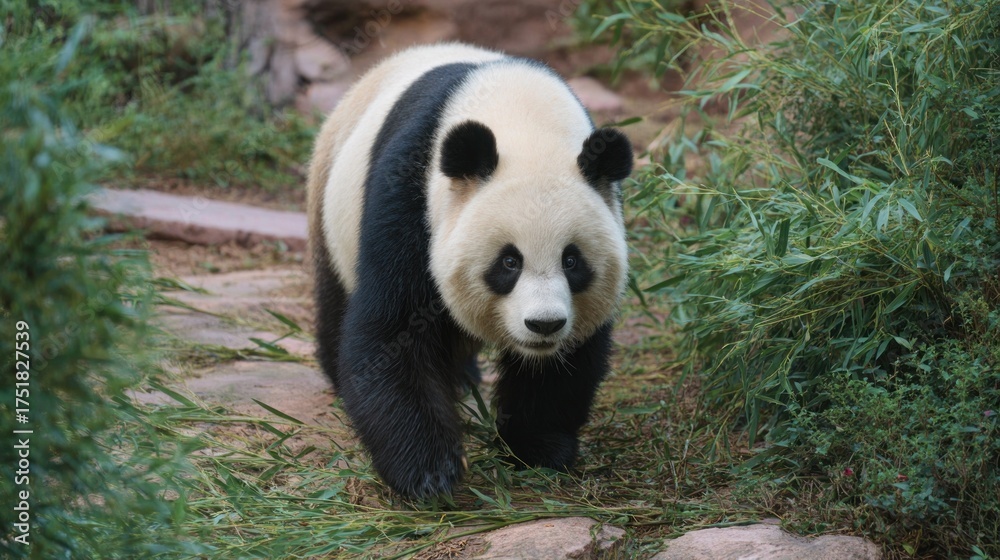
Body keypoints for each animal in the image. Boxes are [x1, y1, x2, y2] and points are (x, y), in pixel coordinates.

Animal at [305, 43, 632, 500]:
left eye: (572, 261)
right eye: (509, 262)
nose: (544, 324)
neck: (524, 121)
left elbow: (569, 360)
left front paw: (539, 448)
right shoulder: (409, 191)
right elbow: (393, 331)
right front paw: (429, 472)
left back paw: (462, 378)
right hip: (331, 209)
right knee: (336, 299)